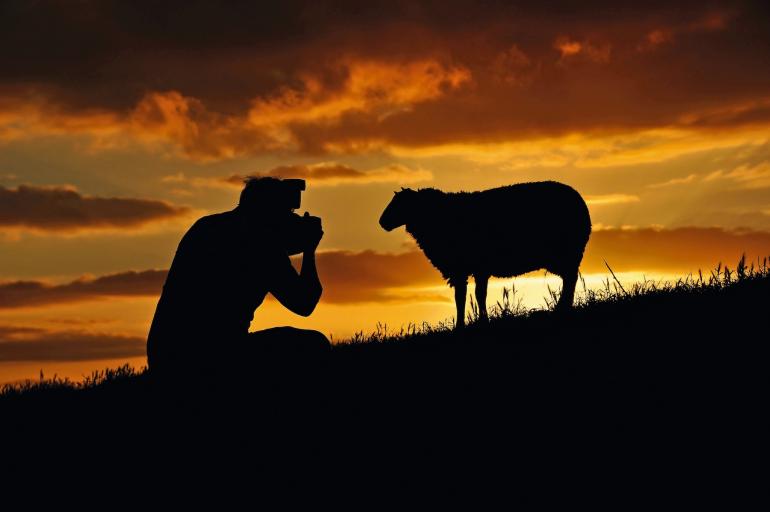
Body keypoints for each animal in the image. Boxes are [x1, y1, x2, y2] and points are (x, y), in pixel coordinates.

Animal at [378, 182, 588, 330]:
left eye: (399, 204)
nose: (382, 222)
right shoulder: (470, 269)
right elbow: (469, 296)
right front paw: (474, 321)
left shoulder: (468, 268)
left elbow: (469, 296)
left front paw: (468, 324)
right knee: (570, 279)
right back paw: (564, 308)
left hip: (565, 252)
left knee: (570, 279)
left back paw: (562, 309)